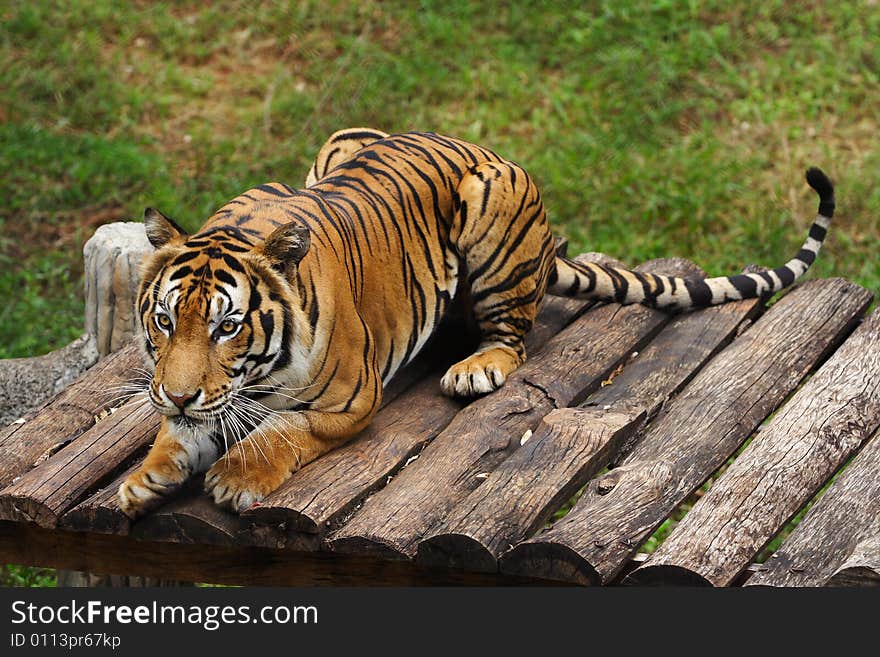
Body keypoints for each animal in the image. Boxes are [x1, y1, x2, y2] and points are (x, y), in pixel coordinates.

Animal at [115, 128, 832, 516]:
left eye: (227, 327)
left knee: (514, 337)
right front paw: (145, 478)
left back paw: (476, 368)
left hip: (493, 208)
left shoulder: (350, 398)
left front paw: (234, 478)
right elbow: (176, 432)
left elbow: (279, 431)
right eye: (164, 321)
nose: (179, 392)